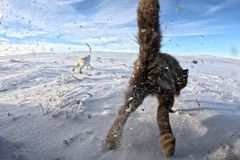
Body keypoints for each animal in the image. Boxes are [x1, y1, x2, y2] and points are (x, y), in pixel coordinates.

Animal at [104, 0, 188, 156]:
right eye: (184, 84)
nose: (179, 92)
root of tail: (149, 57)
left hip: (134, 95)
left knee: (122, 113)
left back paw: (111, 140)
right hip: (164, 92)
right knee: (161, 114)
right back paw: (168, 144)